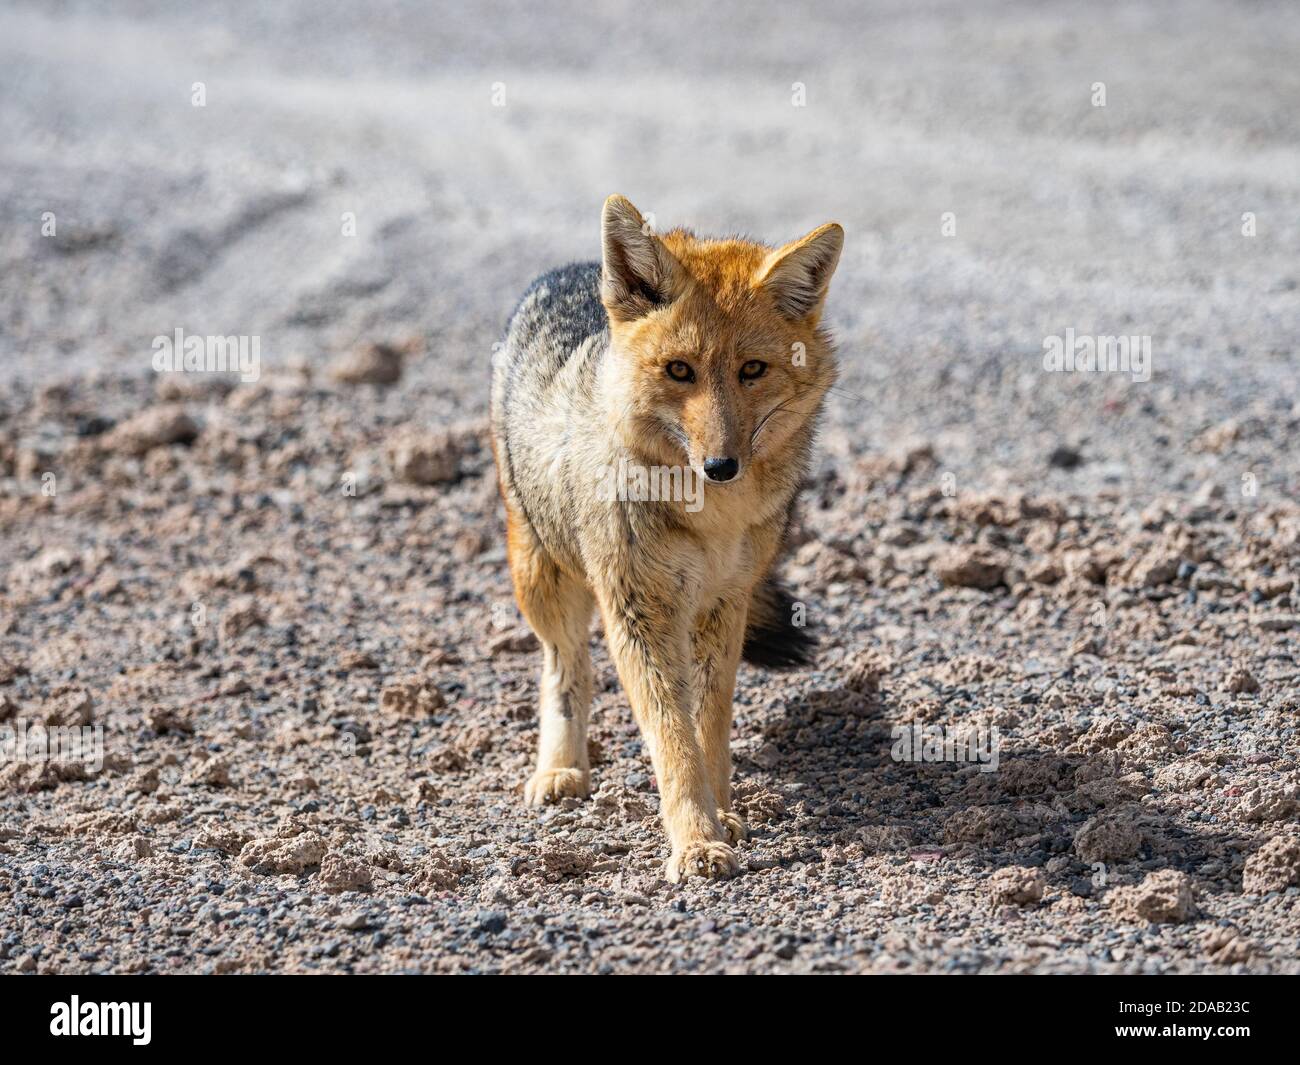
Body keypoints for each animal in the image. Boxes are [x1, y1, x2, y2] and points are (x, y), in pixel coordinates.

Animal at [488, 196, 842, 879]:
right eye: (681, 370)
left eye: (751, 370)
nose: (721, 466)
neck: (713, 519)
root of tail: (571, 270)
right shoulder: (639, 612)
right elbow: (671, 735)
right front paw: (697, 841)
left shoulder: (723, 603)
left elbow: (708, 724)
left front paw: (722, 815)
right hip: (543, 578)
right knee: (565, 668)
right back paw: (561, 770)